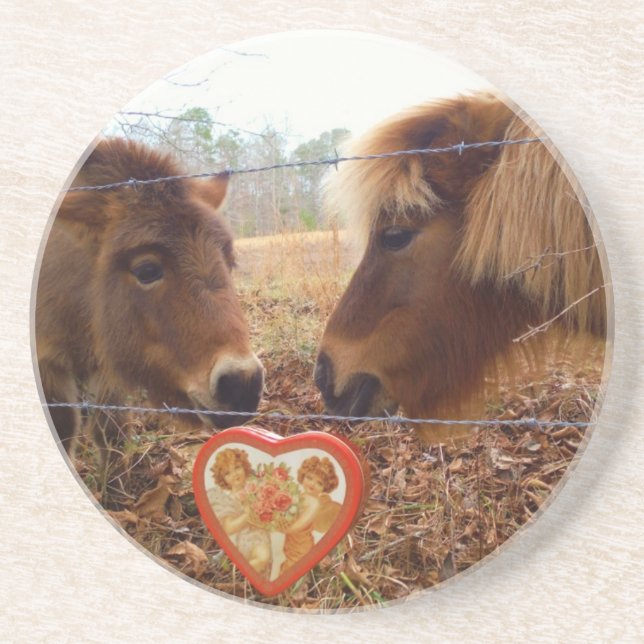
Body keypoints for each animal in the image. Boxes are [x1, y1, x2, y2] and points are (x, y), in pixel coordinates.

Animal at [36, 137, 264, 467]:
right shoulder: (48, 363)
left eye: (230, 262)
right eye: (146, 270)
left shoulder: (107, 364)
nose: (241, 384)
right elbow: (65, 429)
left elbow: (111, 430)